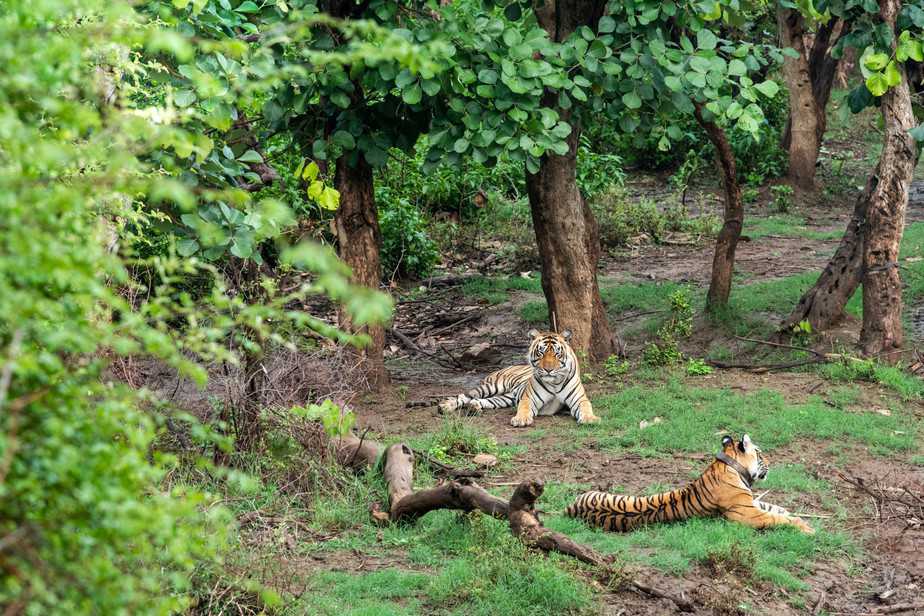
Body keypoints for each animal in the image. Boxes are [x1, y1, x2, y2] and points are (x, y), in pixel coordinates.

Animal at [438, 329, 598, 427]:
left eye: (557, 353)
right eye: (541, 353)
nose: (548, 370)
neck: (554, 382)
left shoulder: (579, 399)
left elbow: (586, 407)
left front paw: (590, 419)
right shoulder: (529, 398)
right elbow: (524, 407)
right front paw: (521, 419)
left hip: (505, 398)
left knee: (481, 401)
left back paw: (474, 407)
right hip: (491, 387)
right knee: (464, 396)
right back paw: (445, 406)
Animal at [565, 434, 815, 534]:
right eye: (761, 453)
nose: (770, 464)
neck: (731, 465)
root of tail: (570, 509)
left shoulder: (751, 503)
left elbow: (776, 508)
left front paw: (796, 515)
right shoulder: (747, 513)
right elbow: (776, 517)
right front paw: (806, 527)